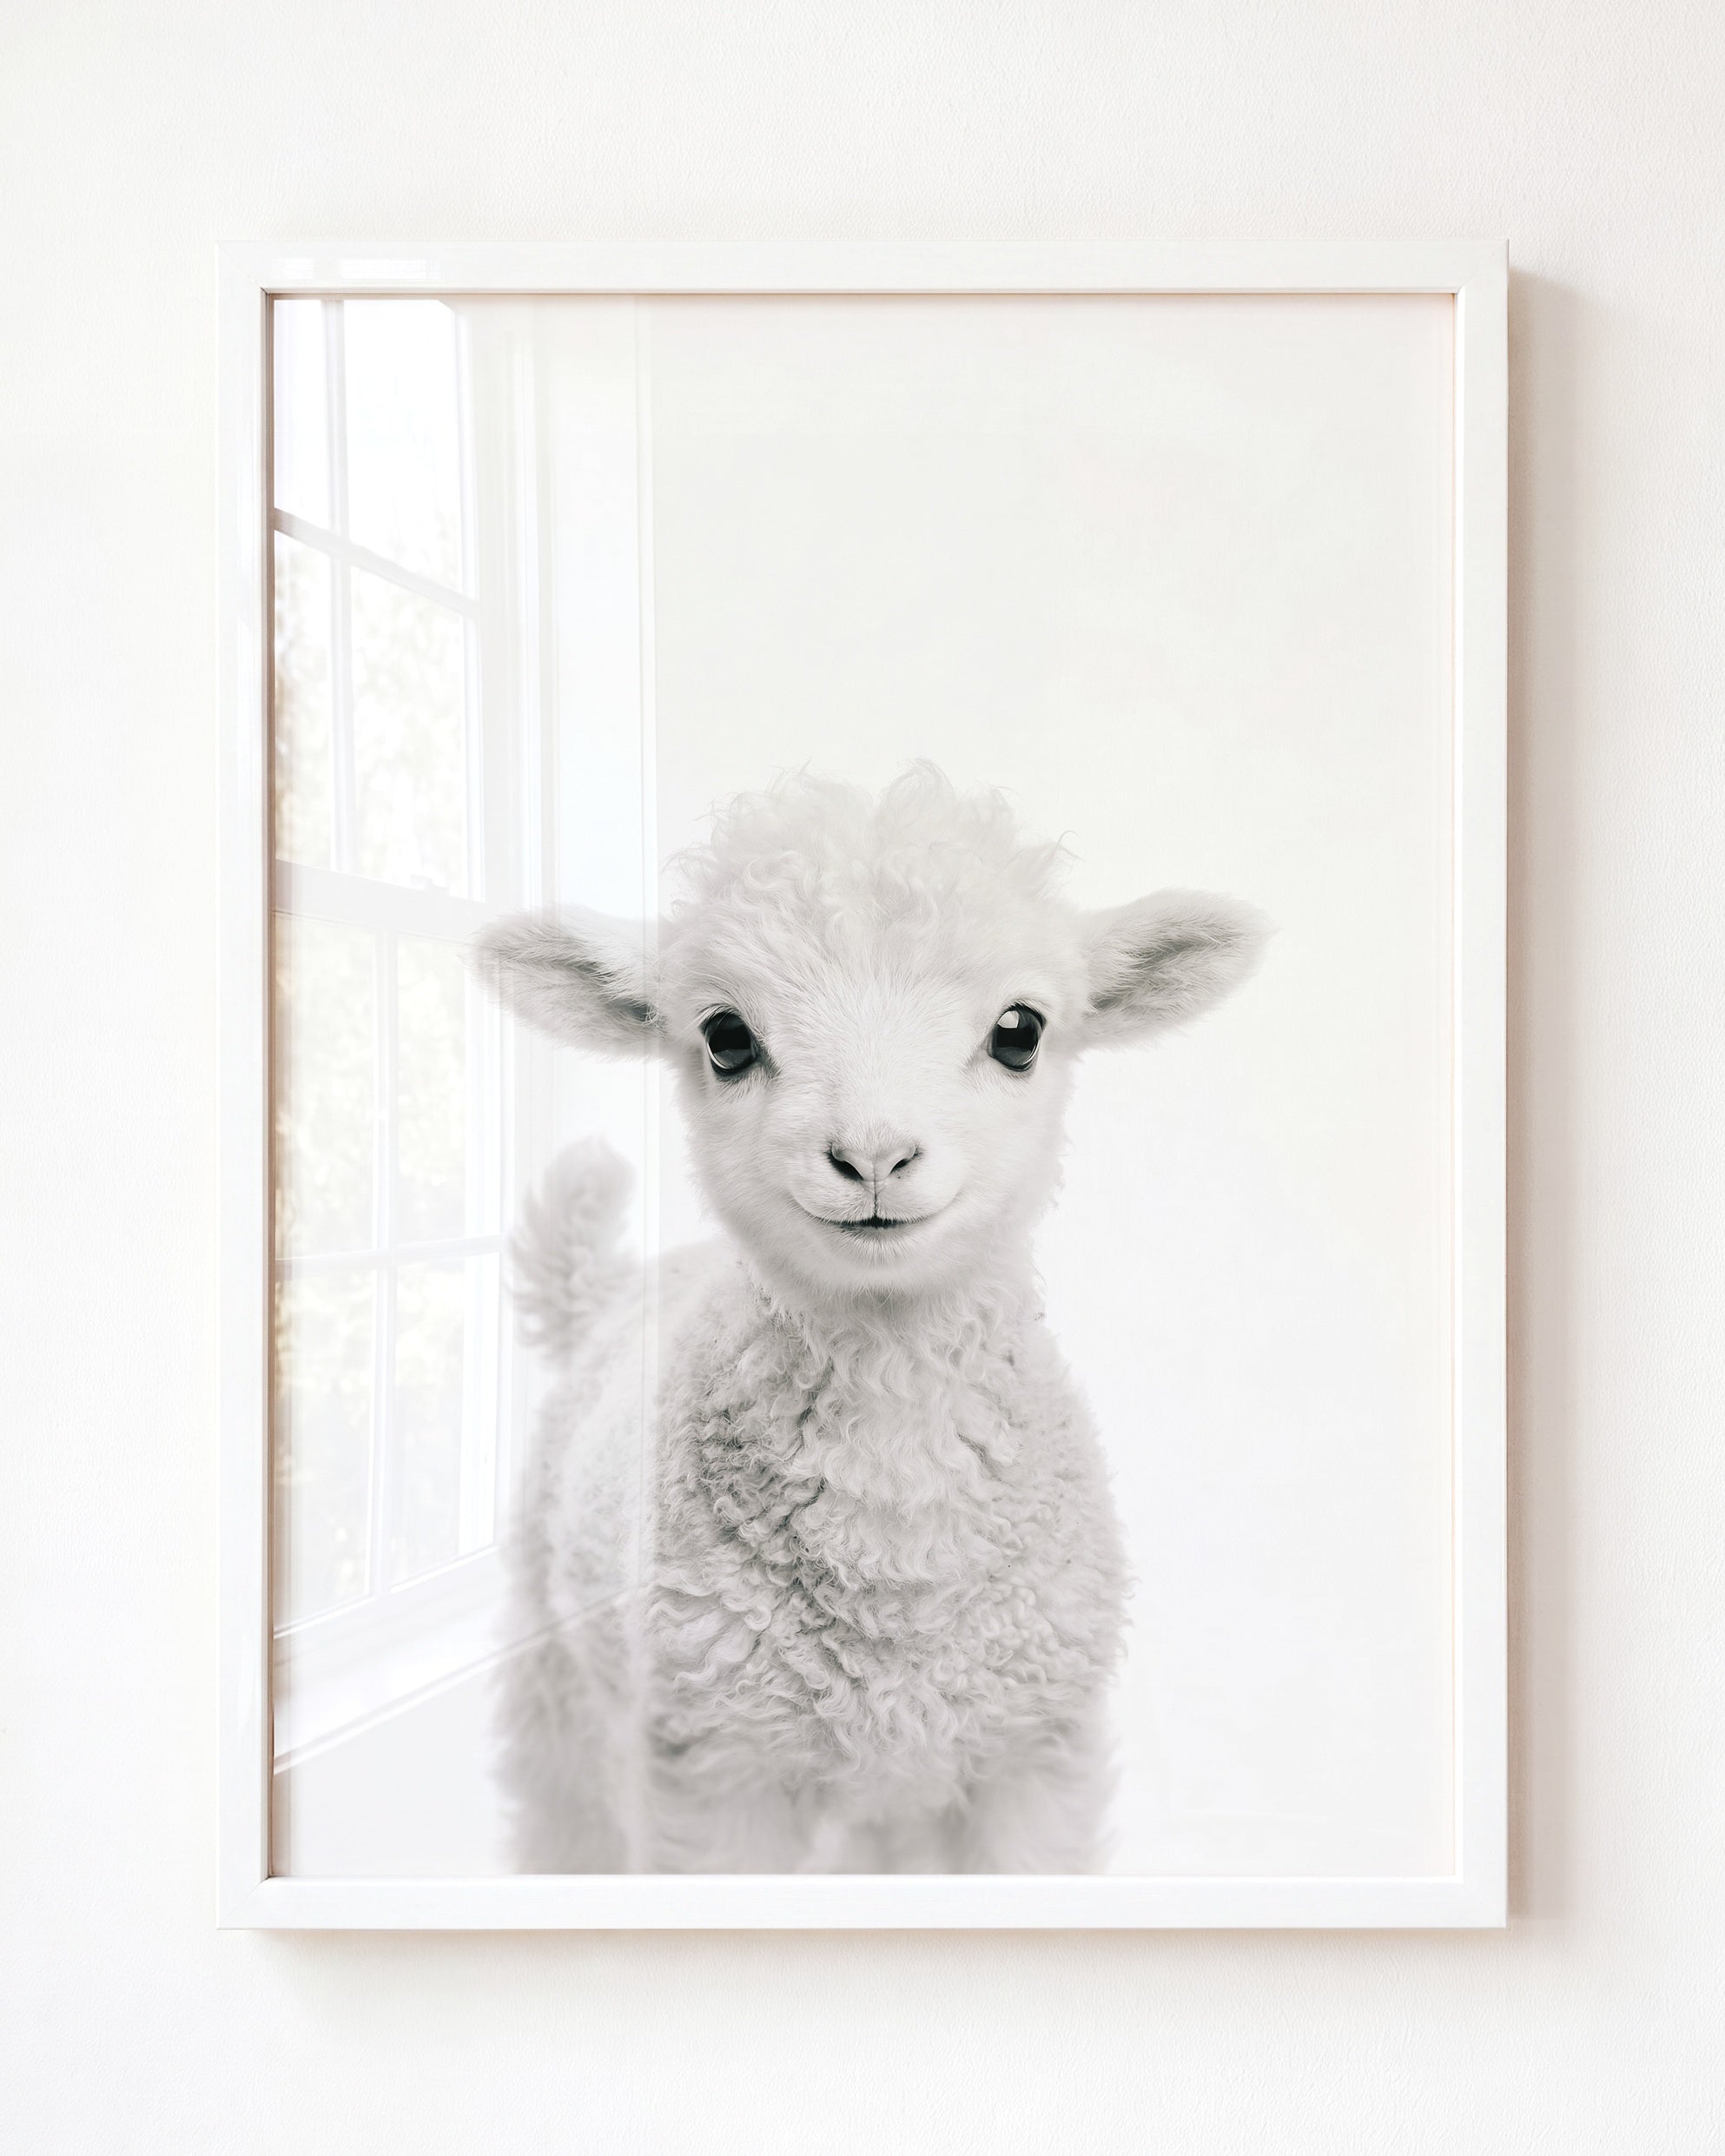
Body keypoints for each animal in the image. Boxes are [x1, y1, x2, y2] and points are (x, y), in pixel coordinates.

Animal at [474, 764, 1265, 1874]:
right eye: (726, 1037)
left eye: (1020, 1031)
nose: (874, 1156)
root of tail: (614, 1286)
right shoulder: (719, 1773)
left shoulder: (1031, 1758)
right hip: (561, 1690)